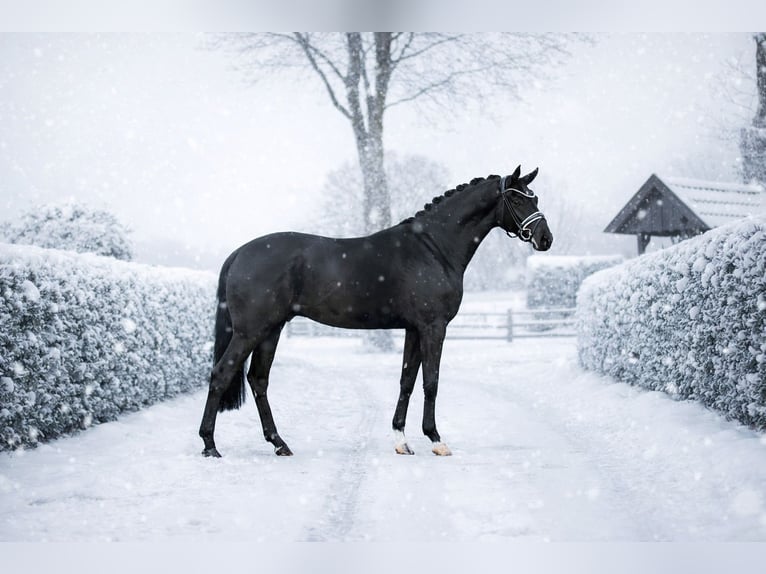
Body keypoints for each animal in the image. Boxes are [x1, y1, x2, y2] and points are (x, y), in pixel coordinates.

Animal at [199, 166, 553, 458]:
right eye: (517, 199)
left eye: (534, 198)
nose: (545, 238)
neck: (434, 247)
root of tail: (239, 253)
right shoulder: (433, 326)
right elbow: (431, 381)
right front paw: (436, 439)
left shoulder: (414, 328)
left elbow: (407, 380)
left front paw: (401, 440)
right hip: (250, 331)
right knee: (221, 374)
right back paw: (210, 445)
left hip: (271, 330)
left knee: (258, 380)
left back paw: (279, 443)